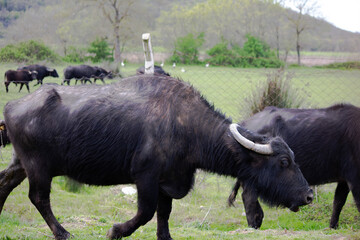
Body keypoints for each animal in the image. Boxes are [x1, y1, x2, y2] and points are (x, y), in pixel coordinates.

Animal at [0, 75, 312, 240]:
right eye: (283, 163)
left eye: (294, 158)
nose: (309, 195)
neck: (186, 126)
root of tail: (13, 105)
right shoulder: (146, 177)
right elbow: (146, 212)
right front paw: (116, 230)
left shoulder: (167, 181)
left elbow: (164, 214)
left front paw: (165, 236)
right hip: (38, 168)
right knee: (39, 198)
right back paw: (63, 232)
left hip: (20, 164)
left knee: (4, 183)